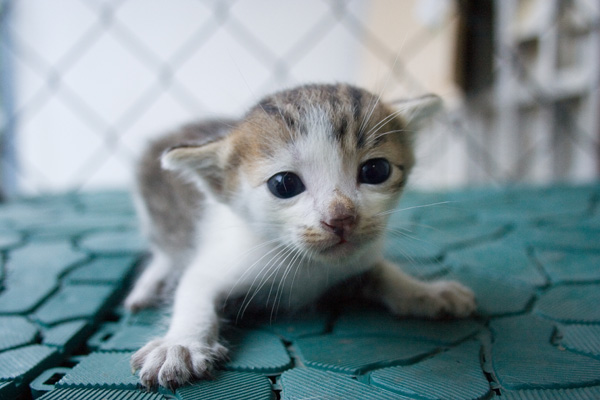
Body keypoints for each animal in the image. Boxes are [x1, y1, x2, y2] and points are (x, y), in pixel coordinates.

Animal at [125, 83, 474, 390]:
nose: (341, 218)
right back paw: (148, 286)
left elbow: (384, 272)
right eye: (284, 184)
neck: (308, 268)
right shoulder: (219, 261)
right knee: (164, 251)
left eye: (376, 171)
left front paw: (426, 292)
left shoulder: (357, 259)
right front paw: (180, 345)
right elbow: (193, 292)